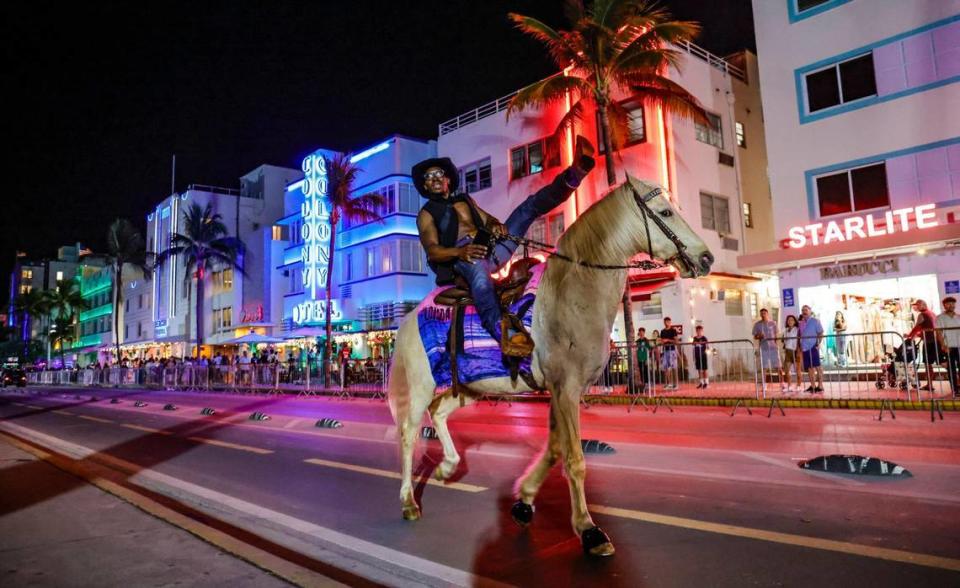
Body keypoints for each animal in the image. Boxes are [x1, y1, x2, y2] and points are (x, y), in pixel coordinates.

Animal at [390, 175, 712, 556]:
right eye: (664, 212)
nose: (706, 258)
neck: (575, 293)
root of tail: (410, 317)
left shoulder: (563, 391)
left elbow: (556, 448)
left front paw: (524, 500)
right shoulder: (565, 388)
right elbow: (574, 459)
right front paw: (588, 529)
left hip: (471, 385)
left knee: (438, 411)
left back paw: (445, 468)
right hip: (421, 386)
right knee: (409, 433)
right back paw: (408, 501)